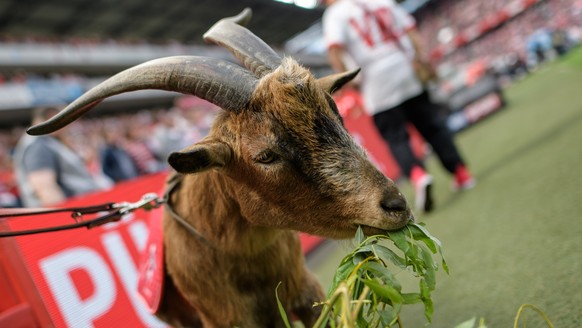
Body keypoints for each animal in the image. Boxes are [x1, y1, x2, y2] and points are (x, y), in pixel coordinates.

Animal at [28, 9, 416, 326]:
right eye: (265, 155)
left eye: (336, 115)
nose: (395, 205)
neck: (247, 258)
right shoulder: (227, 318)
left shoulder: (304, 289)